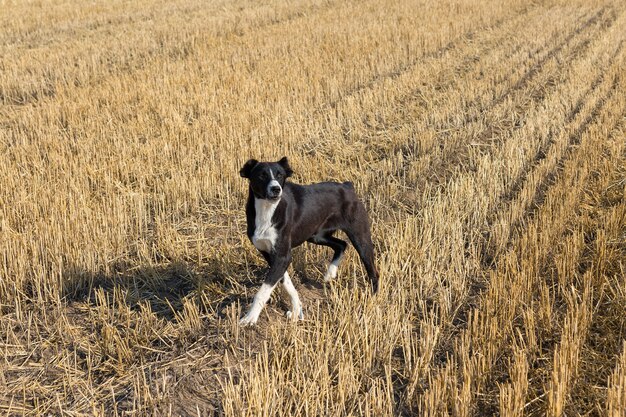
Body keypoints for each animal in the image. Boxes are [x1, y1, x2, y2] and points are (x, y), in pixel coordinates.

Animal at [238, 157, 376, 324]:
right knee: (342, 244)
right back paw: (330, 274)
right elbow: (286, 283)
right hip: (316, 236)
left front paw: (250, 317)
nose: (276, 189)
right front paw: (296, 310)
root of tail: (347, 186)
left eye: (280, 175)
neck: (267, 210)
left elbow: (263, 291)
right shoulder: (270, 254)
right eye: (262, 175)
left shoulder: (282, 256)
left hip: (360, 237)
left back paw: (373, 299)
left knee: (373, 271)